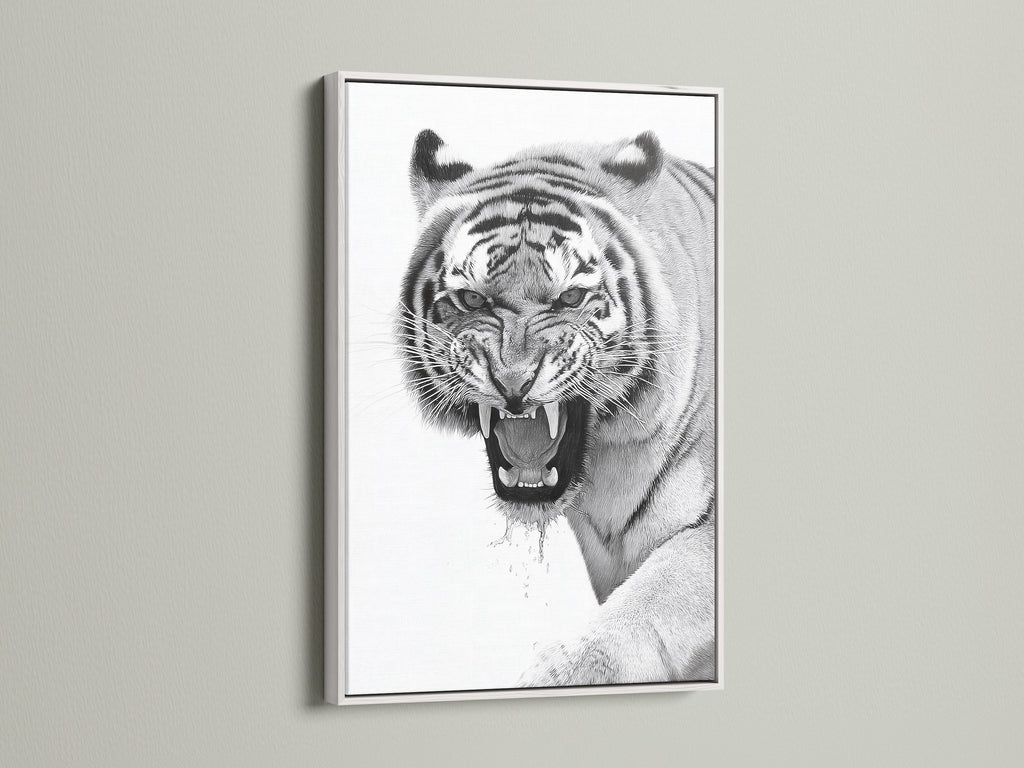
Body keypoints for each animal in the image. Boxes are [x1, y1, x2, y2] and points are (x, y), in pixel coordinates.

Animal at [397, 127, 716, 687]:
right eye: (473, 300)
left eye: (569, 299)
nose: (513, 381)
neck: (613, 468)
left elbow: (658, 597)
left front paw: (559, 672)